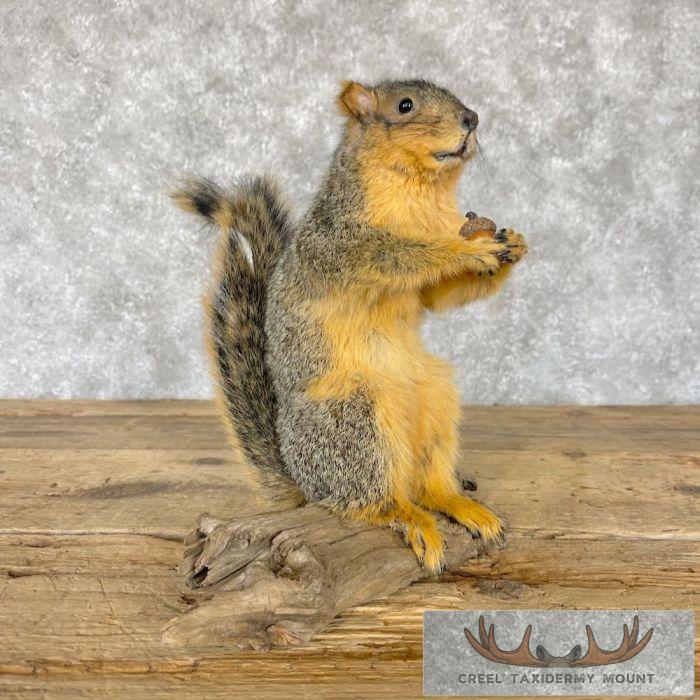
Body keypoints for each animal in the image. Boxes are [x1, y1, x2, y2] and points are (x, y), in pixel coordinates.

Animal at [173, 79, 528, 573]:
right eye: (404, 106)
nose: (471, 120)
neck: (421, 191)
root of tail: (304, 480)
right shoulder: (339, 243)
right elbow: (398, 254)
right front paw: (467, 252)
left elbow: (439, 296)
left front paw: (514, 244)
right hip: (354, 417)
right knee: (370, 501)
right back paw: (409, 518)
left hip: (435, 400)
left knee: (427, 485)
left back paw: (457, 503)